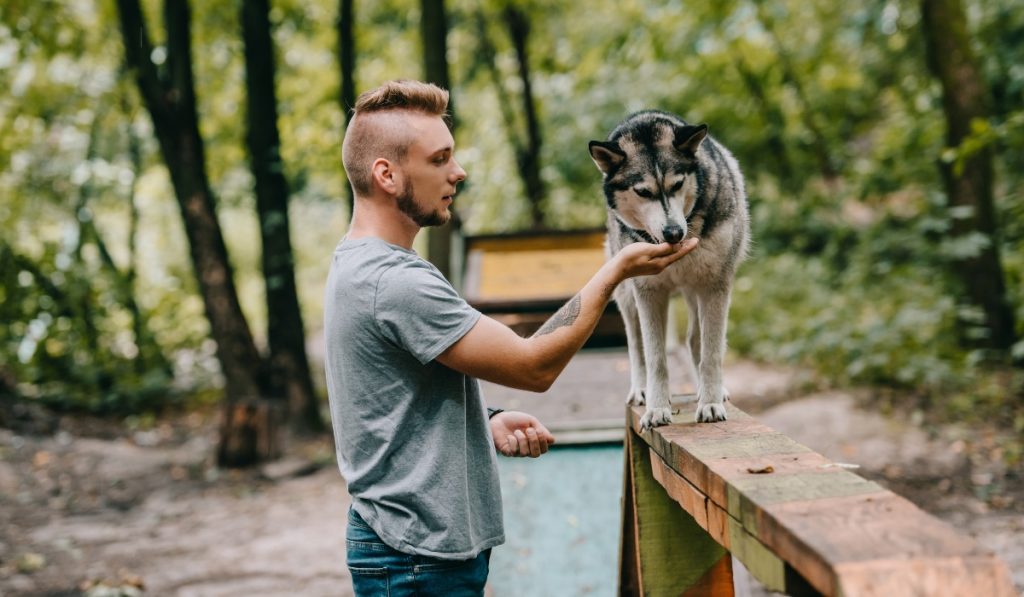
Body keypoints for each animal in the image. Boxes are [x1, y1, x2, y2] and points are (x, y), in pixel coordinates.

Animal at [589, 111, 749, 430]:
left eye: (677, 185)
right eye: (642, 192)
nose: (674, 232)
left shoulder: (715, 286)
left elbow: (711, 351)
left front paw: (710, 403)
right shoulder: (649, 293)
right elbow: (655, 357)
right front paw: (657, 408)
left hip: (696, 292)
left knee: (695, 340)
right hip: (627, 298)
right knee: (636, 345)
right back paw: (640, 390)